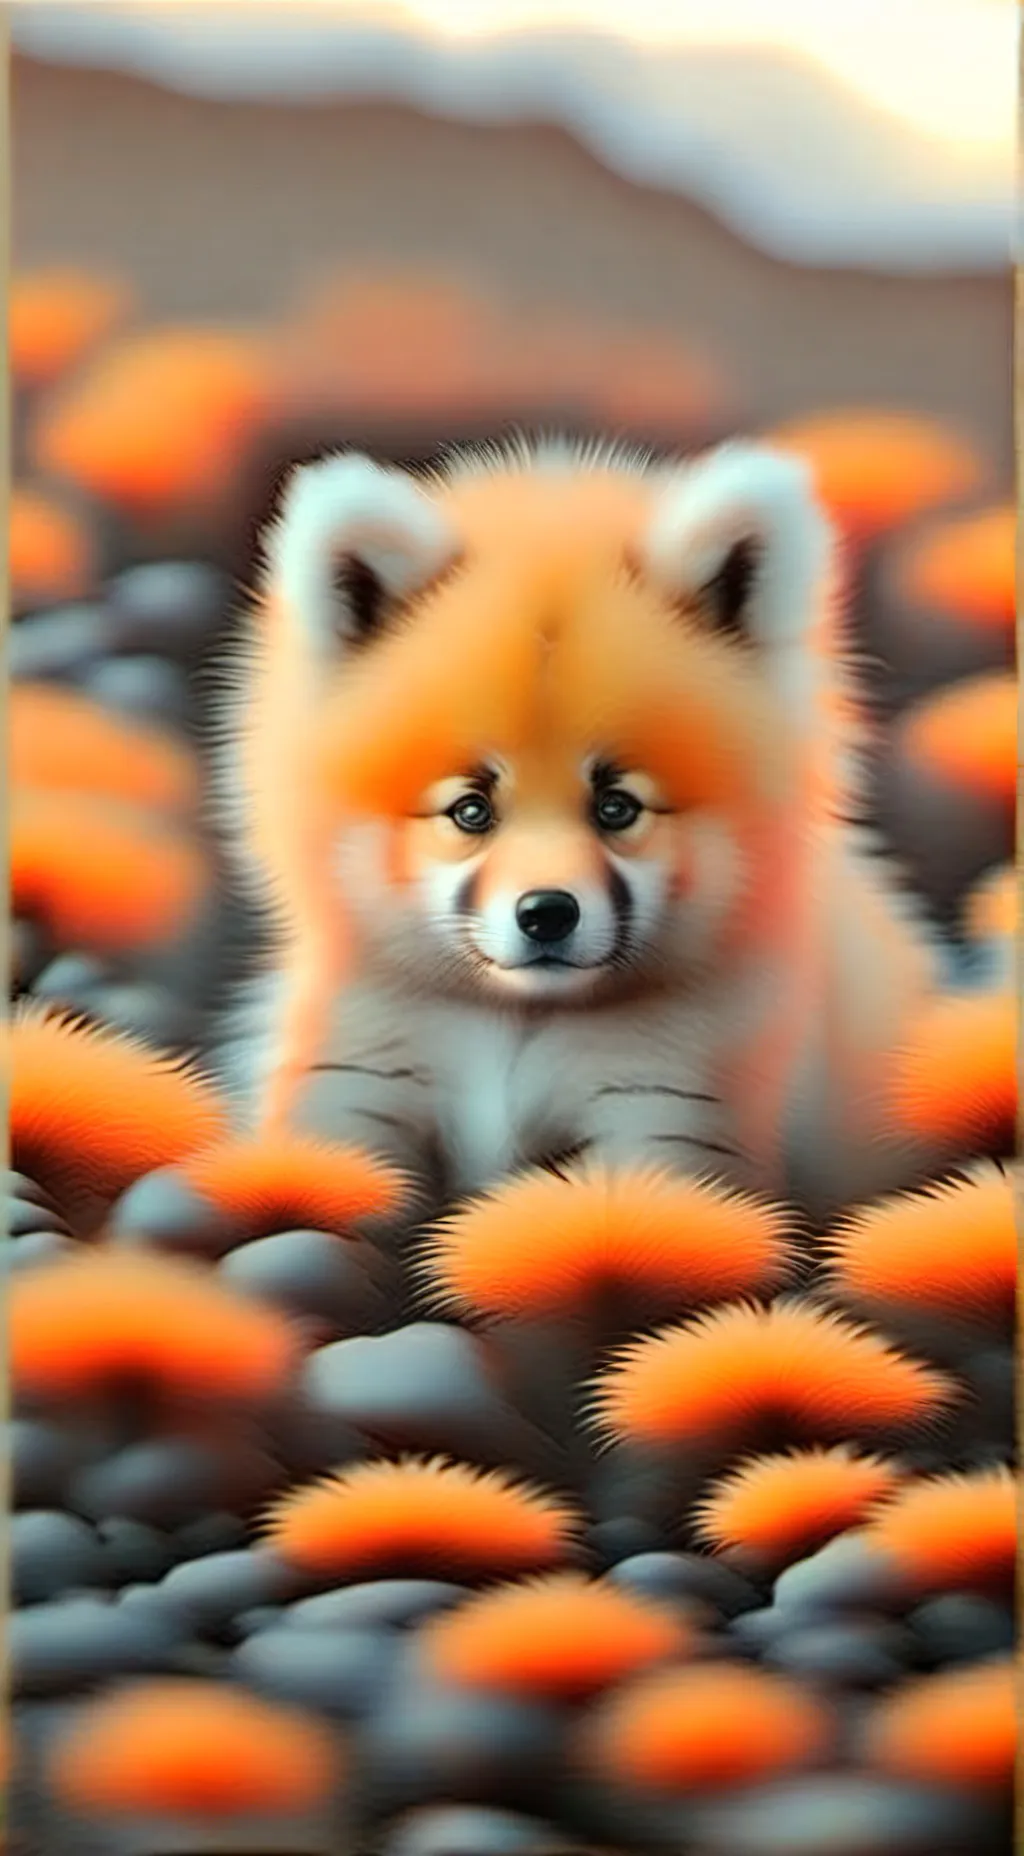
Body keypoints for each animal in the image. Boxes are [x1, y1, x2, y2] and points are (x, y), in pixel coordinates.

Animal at [215, 434, 948, 1223]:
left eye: (617, 807)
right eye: (471, 810)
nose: (546, 914)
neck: (514, 1029)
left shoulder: (667, 1106)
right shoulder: (360, 1075)